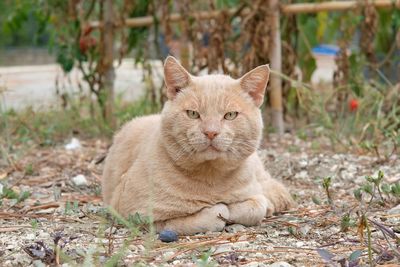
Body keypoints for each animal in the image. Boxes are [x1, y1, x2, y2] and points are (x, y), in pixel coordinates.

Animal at [101, 56, 294, 234]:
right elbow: (203, 217)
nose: (211, 132)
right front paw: (219, 210)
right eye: (193, 114)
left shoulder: (254, 195)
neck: (211, 179)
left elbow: (256, 205)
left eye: (230, 115)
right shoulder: (132, 212)